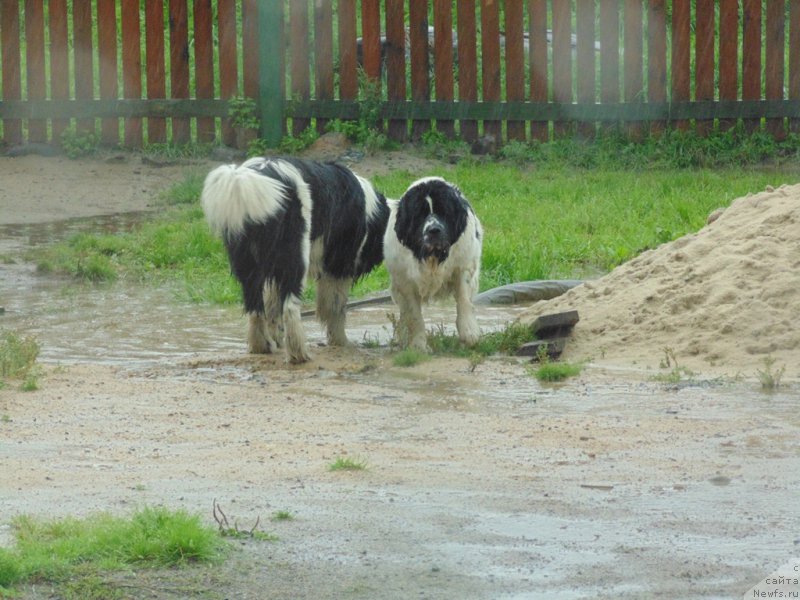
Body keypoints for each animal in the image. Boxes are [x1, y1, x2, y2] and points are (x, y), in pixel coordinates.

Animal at [200, 156, 388, 360]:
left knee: (255, 306)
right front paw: (341, 342)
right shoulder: (338, 267)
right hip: (296, 257)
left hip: (248, 262)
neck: (369, 214)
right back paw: (299, 354)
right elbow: (335, 308)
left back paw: (262, 346)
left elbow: (272, 306)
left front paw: (276, 338)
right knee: (290, 308)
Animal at [382, 176, 482, 350]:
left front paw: (469, 332)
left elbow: (464, 298)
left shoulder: (464, 265)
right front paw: (418, 344)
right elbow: (414, 314)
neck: (432, 258)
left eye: (444, 212)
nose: (434, 230)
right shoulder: (404, 280)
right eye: (419, 215)